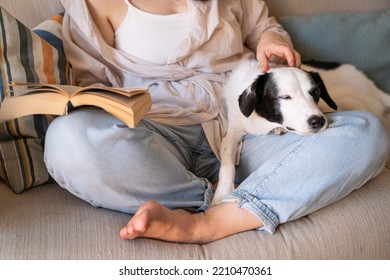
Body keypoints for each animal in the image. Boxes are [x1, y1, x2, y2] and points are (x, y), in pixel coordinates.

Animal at [212, 59, 390, 206]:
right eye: (285, 97)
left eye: (316, 93)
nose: (318, 121)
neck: (262, 121)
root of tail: (375, 90)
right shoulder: (233, 130)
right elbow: (227, 162)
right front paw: (221, 194)